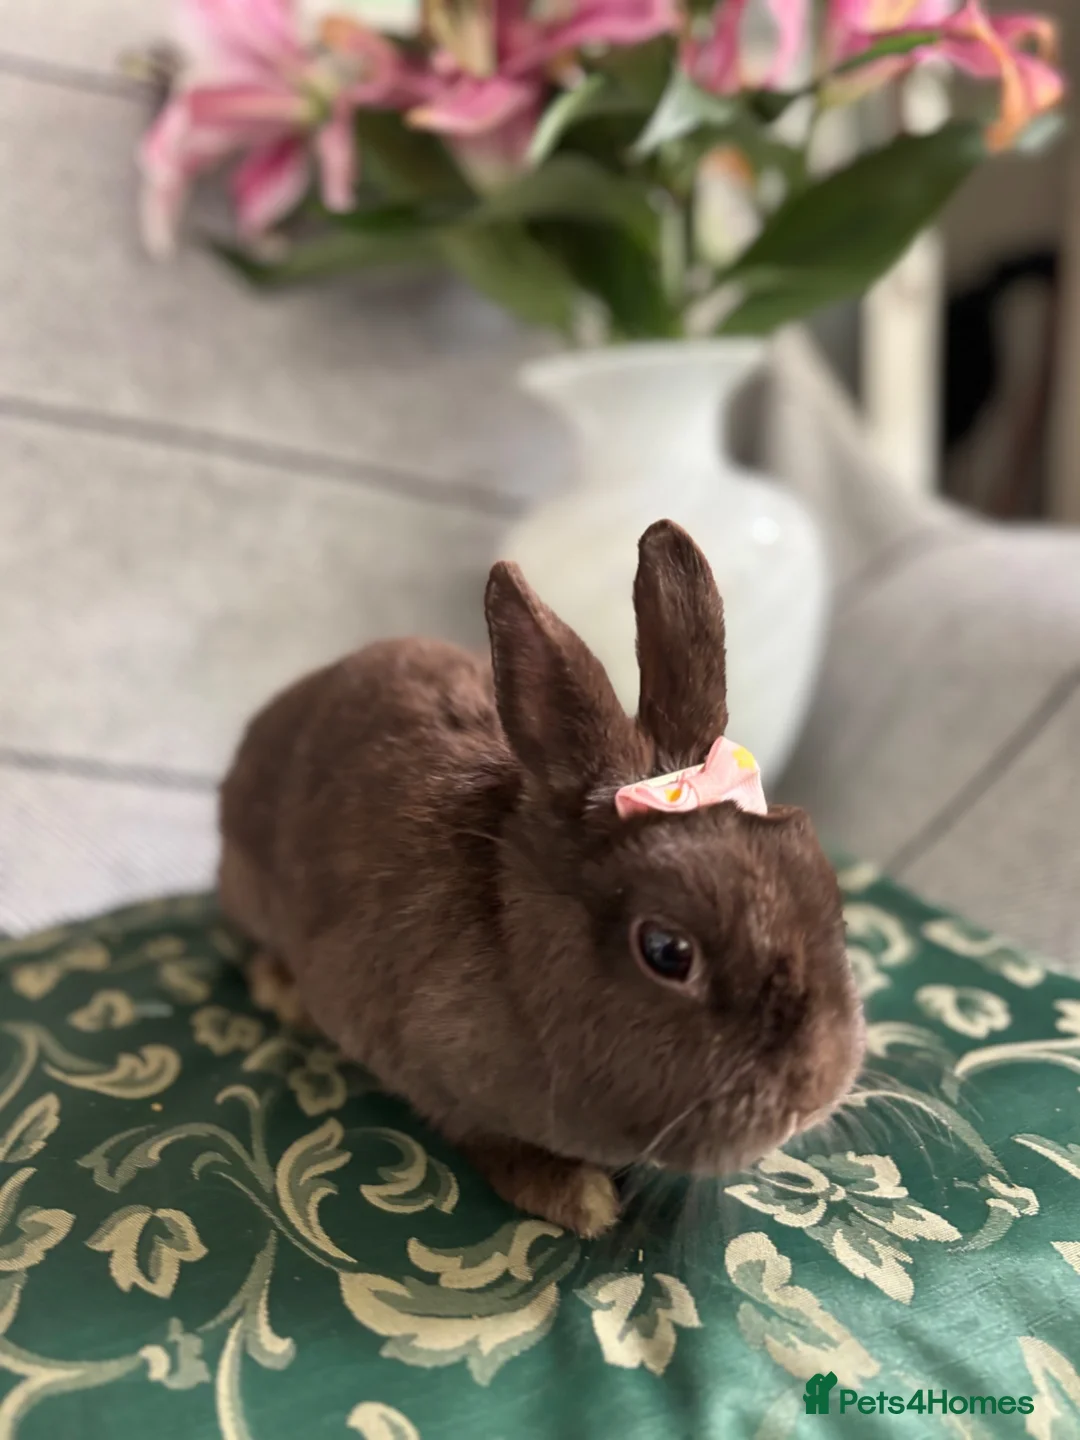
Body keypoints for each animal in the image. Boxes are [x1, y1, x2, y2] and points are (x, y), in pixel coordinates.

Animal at [218, 520, 865, 1238]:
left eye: (824, 887)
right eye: (667, 951)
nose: (818, 1086)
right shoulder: (437, 1074)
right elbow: (491, 1142)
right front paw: (579, 1199)